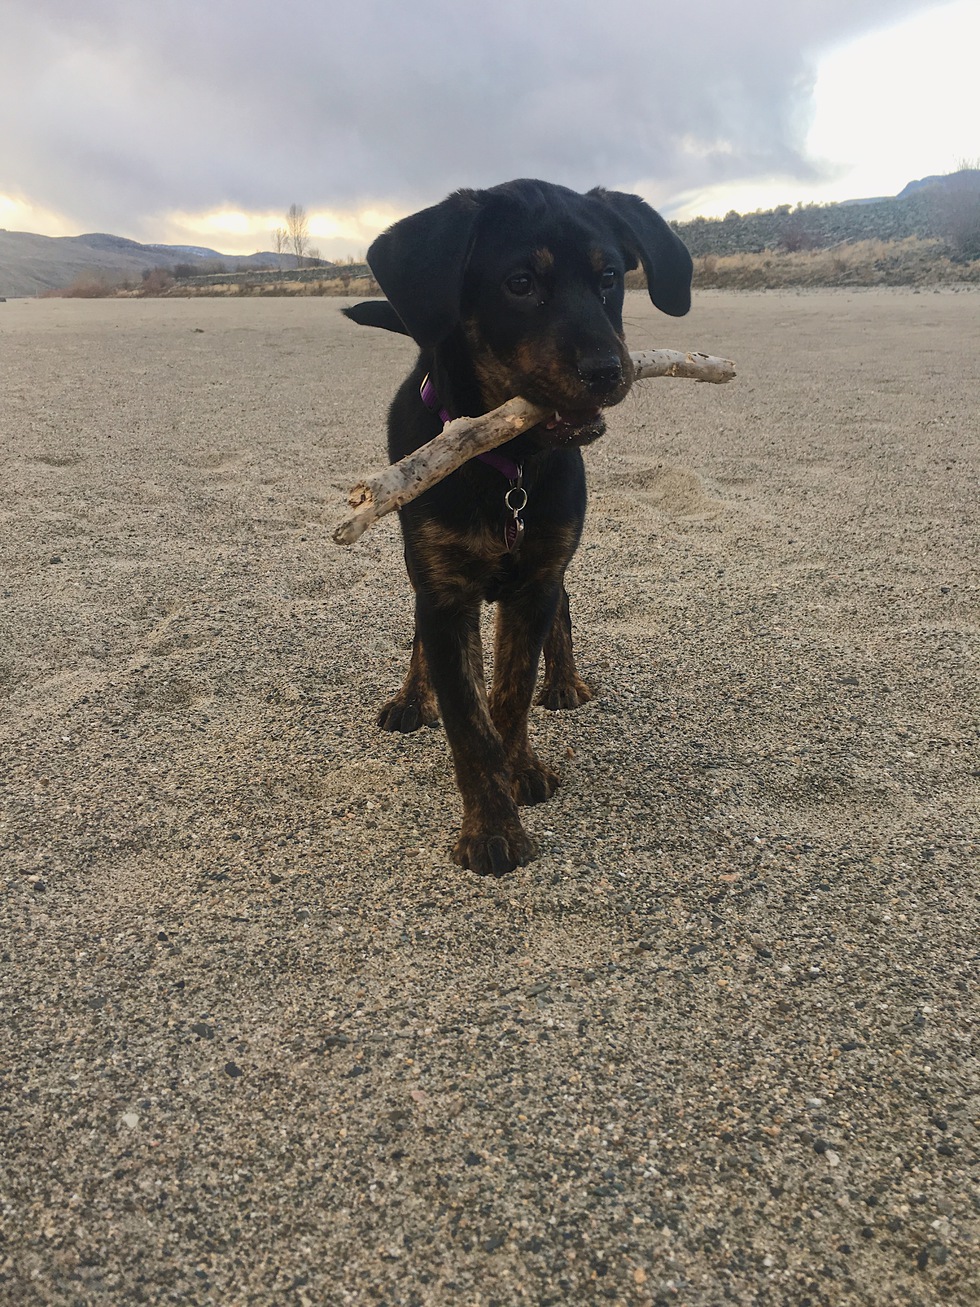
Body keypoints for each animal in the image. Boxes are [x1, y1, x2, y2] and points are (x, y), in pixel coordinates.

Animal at [344, 179, 692, 875]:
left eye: (609, 276)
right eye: (521, 282)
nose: (609, 371)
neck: (508, 466)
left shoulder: (534, 581)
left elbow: (510, 692)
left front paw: (521, 769)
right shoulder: (444, 594)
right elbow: (468, 719)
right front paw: (491, 830)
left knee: (564, 606)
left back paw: (564, 680)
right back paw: (411, 697)